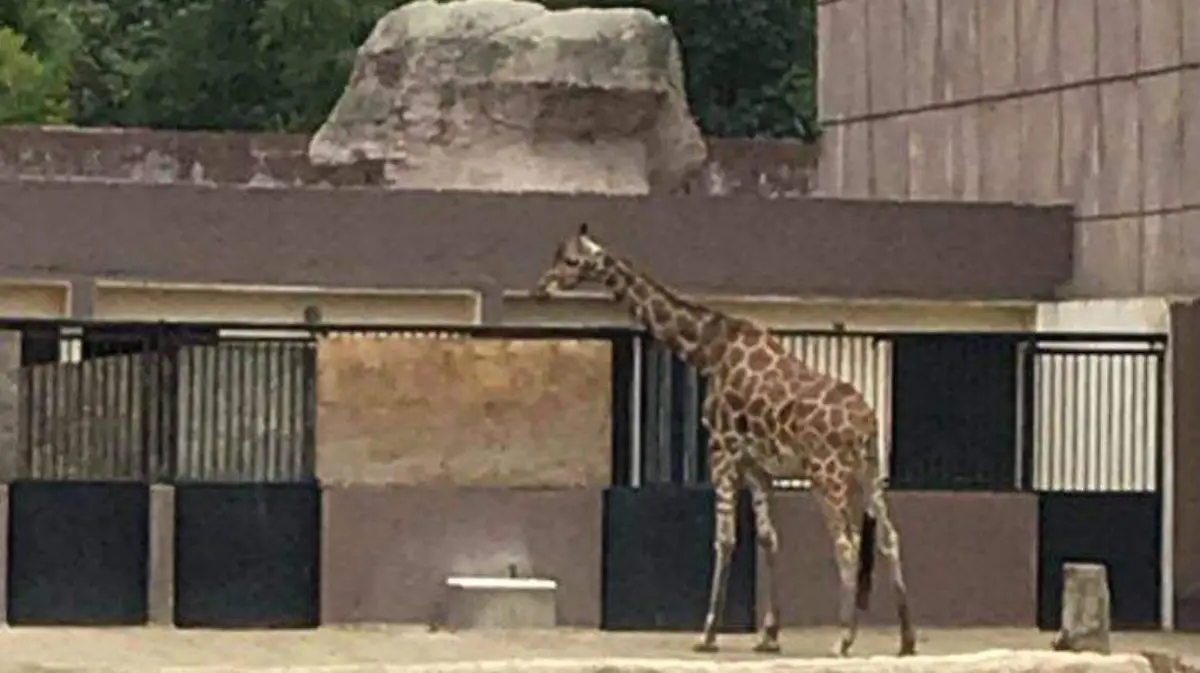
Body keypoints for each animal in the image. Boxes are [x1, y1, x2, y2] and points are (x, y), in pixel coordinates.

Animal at [533, 223, 917, 657]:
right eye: (557, 255)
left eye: (571, 261)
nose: (541, 288)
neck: (708, 351)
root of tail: (868, 421)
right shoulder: (756, 465)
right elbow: (768, 538)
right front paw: (769, 635)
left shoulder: (722, 449)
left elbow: (725, 538)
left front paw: (707, 634)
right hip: (871, 471)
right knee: (889, 537)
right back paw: (906, 640)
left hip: (827, 473)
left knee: (847, 544)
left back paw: (843, 639)